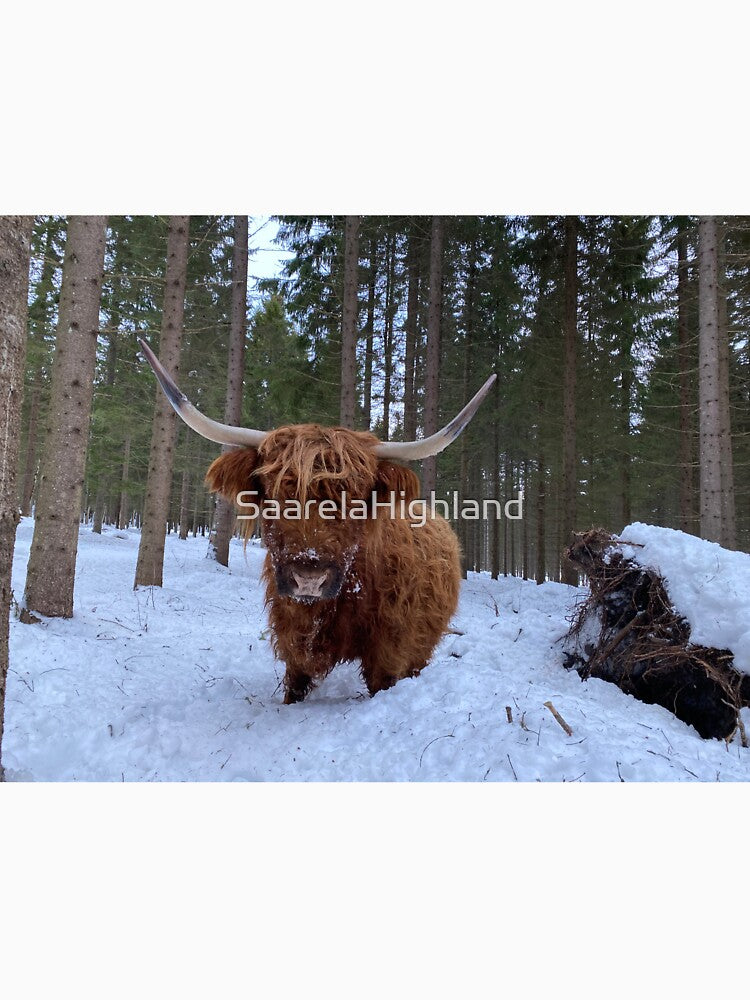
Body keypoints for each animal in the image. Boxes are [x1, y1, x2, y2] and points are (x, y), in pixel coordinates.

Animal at [140, 339, 495, 703]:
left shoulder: (389, 651)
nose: (309, 578)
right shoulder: (292, 638)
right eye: (273, 494)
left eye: (357, 500)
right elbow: (294, 686)